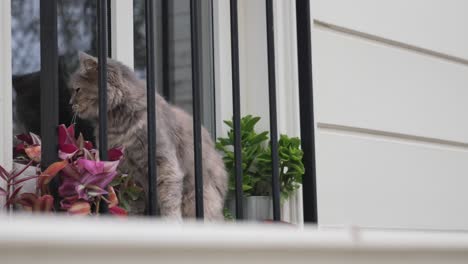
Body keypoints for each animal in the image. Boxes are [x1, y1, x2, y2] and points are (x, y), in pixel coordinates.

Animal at [69, 51, 229, 221]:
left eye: (77, 90)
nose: (70, 103)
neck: (118, 124)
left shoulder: (164, 164)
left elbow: (169, 201)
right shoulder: (128, 174)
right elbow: (132, 205)